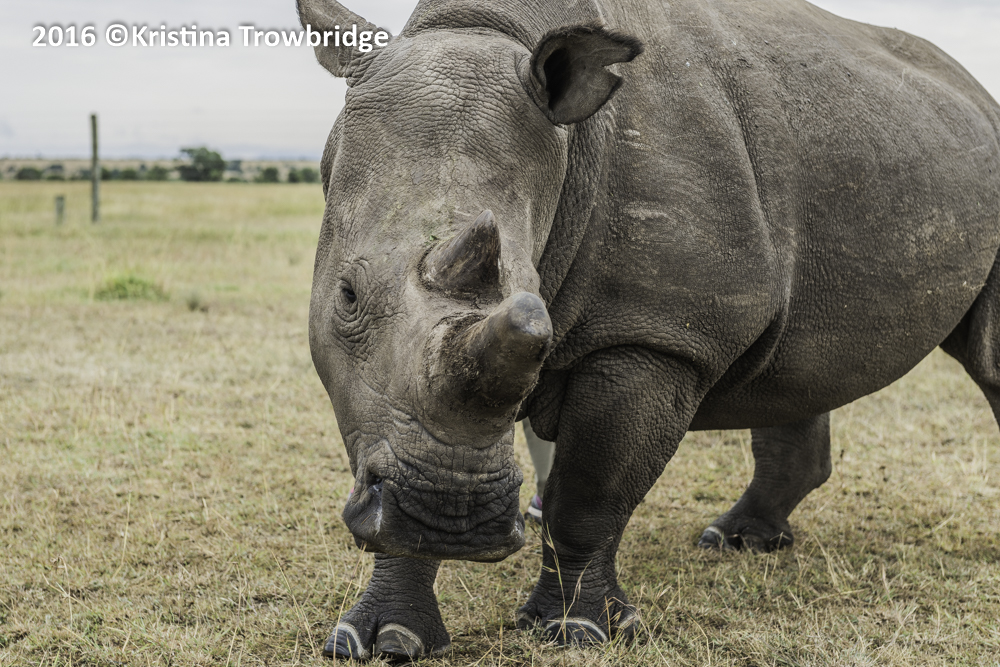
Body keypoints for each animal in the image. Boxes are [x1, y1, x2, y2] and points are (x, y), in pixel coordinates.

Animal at [299, 0, 1000, 659]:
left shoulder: (658, 333)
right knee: (794, 365)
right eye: (347, 296)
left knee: (985, 363)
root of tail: (973, 89)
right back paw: (737, 541)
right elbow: (385, 432)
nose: (452, 517)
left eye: (538, 309)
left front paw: (579, 631)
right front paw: (379, 638)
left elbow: (590, 490)